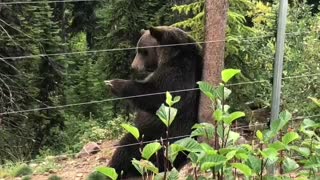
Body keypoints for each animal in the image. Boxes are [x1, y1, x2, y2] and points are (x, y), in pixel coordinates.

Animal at [107, 26, 202, 178]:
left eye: (143, 51)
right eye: (138, 49)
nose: (133, 67)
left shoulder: (179, 70)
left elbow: (159, 95)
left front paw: (114, 83)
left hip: (157, 139)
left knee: (127, 148)